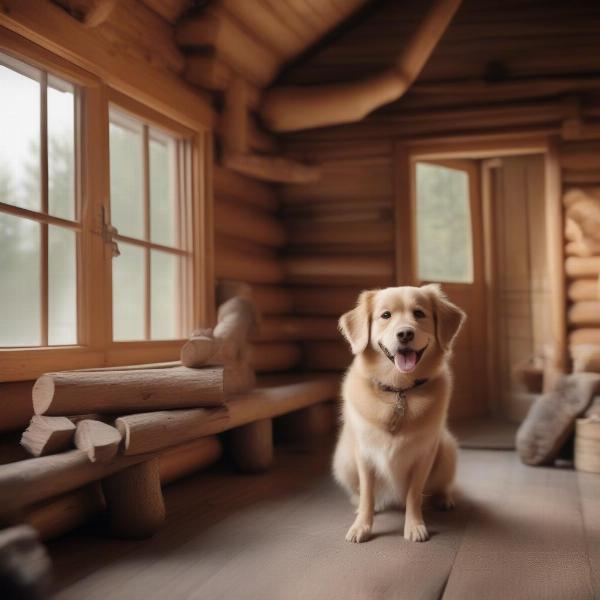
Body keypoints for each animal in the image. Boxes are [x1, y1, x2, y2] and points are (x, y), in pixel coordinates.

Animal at [332, 284, 464, 540]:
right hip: (343, 460)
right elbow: (367, 494)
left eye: (419, 313)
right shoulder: (364, 455)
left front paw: (414, 525)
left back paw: (444, 499)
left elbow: (414, 494)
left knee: (440, 486)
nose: (404, 334)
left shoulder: (424, 455)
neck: (399, 390)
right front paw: (362, 525)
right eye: (386, 315)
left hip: (447, 450)